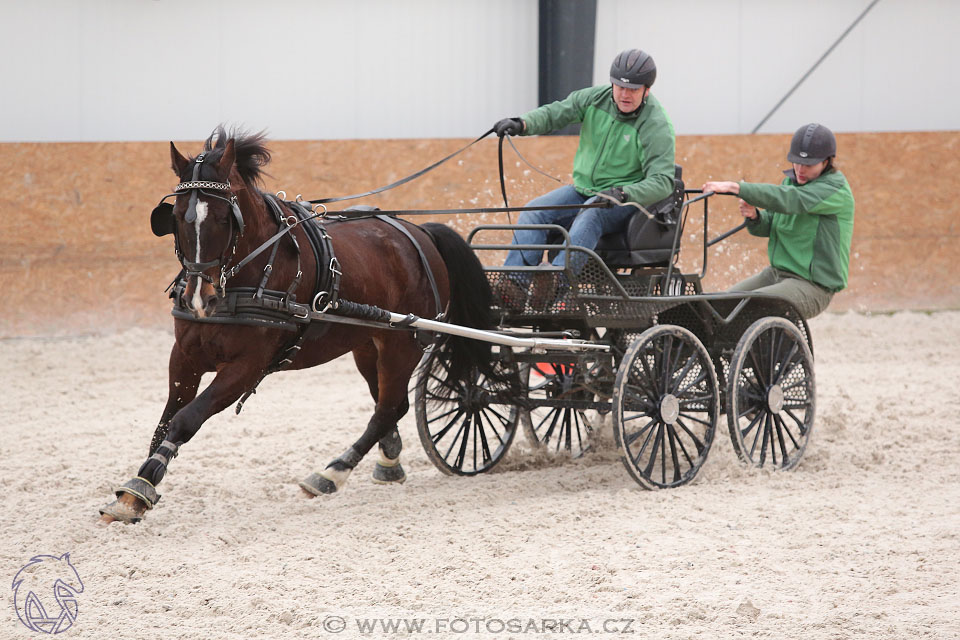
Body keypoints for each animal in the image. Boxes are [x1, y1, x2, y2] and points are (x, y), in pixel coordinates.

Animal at [100, 126, 498, 524]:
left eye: (224, 218)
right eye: (179, 216)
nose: (200, 299)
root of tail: (420, 232)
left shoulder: (246, 366)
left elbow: (186, 419)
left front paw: (141, 487)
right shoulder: (184, 357)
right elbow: (164, 422)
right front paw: (137, 489)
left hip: (403, 345)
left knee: (386, 408)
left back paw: (332, 473)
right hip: (368, 344)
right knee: (392, 405)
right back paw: (387, 463)